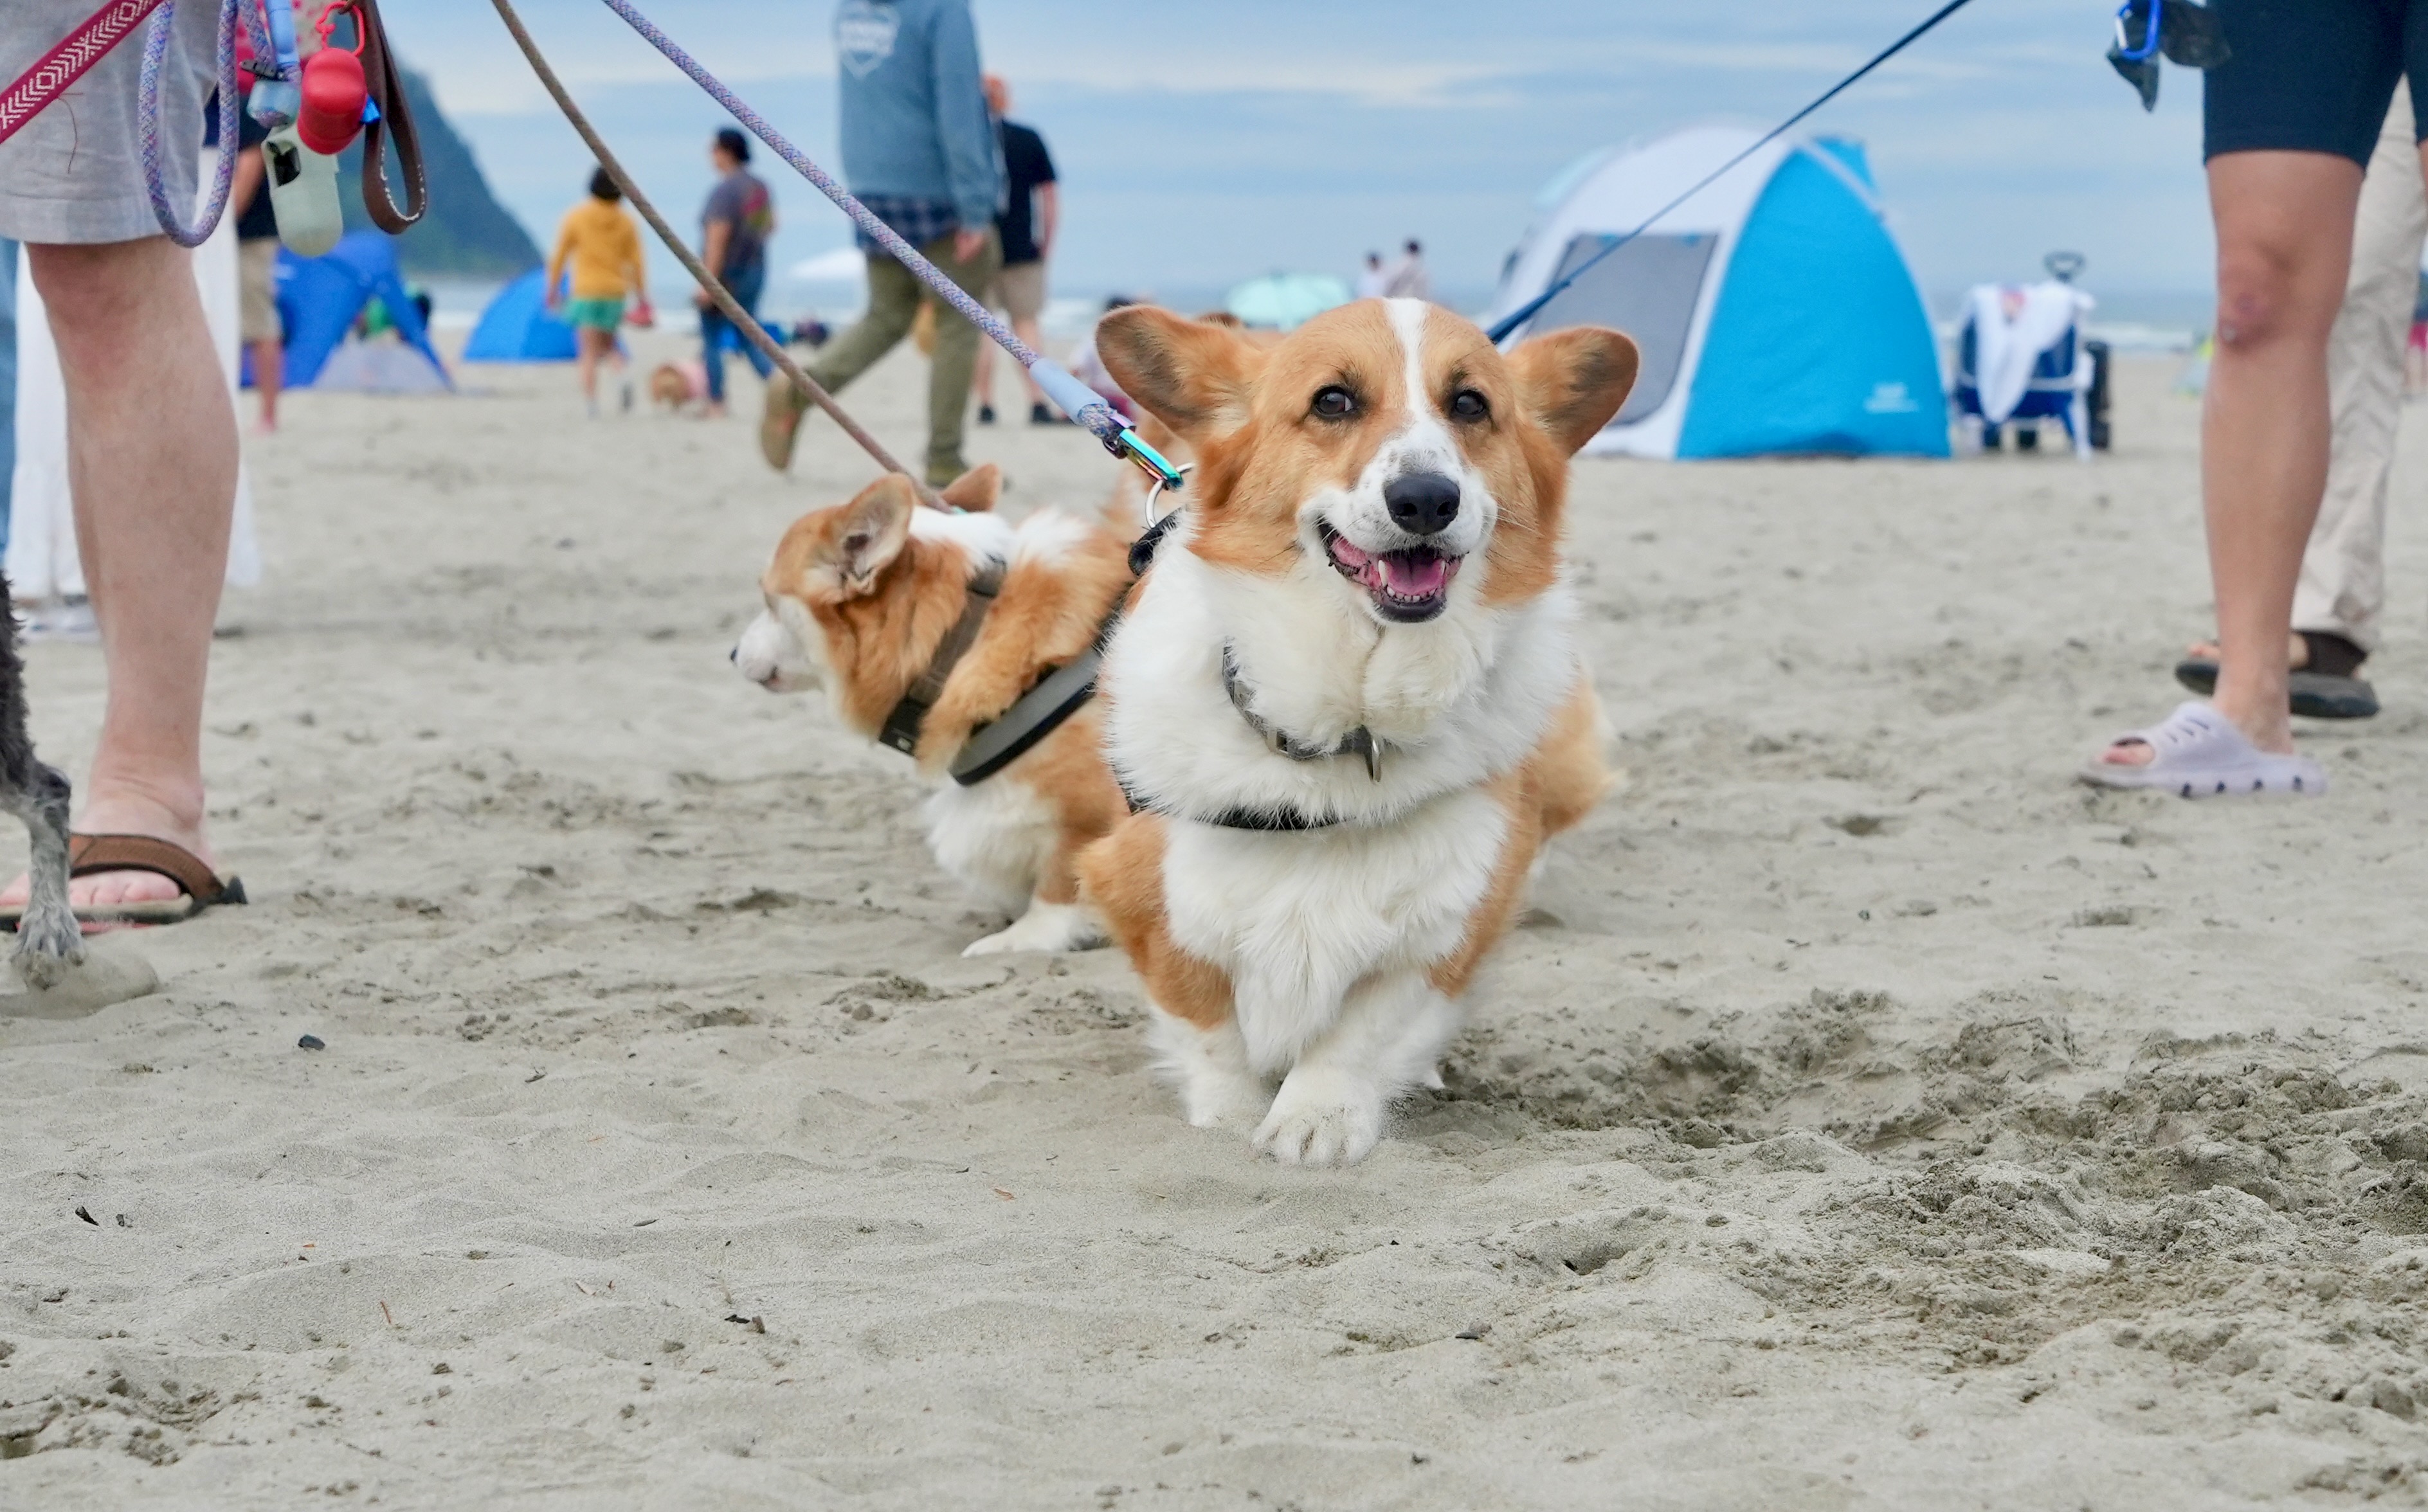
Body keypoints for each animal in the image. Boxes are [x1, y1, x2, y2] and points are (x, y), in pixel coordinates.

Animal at [733, 468, 1131, 951]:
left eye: (769, 601)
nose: (731, 654)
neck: (969, 629)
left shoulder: (1088, 814)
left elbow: (1062, 882)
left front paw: (1019, 938)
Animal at [1078, 298, 1631, 1169]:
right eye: (1332, 401)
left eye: (1469, 404)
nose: (1426, 499)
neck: (1343, 734)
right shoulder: (1143, 888)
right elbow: (1208, 1027)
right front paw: (1229, 1123)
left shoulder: (1450, 920)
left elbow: (1360, 1030)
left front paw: (1317, 1122)